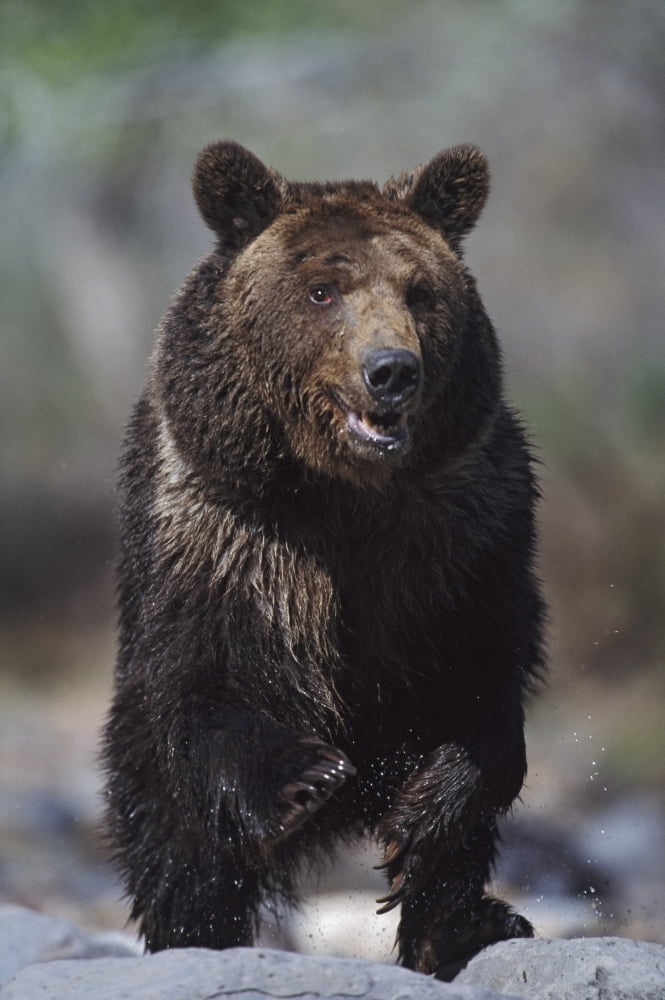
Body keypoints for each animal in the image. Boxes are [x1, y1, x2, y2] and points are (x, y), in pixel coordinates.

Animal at [102, 140, 546, 980]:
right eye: (320, 290)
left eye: (420, 291)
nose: (391, 369)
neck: (341, 494)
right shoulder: (227, 533)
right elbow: (208, 677)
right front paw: (304, 779)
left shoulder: (466, 536)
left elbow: (485, 678)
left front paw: (428, 806)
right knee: (171, 835)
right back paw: (193, 935)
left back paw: (466, 924)